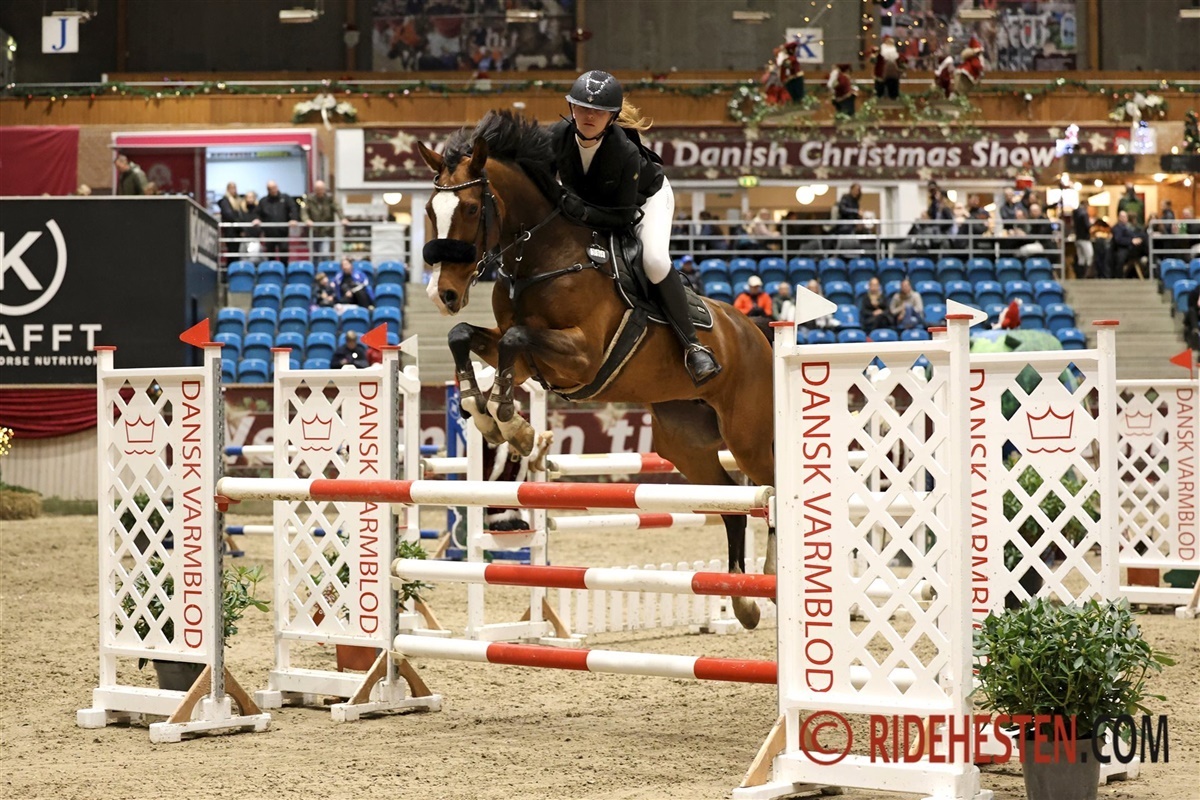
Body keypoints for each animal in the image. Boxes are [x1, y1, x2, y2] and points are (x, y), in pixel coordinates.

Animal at [417, 111, 775, 629]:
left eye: (468, 207)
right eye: (430, 208)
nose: (442, 294)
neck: (541, 258)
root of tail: (757, 331)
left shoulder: (581, 357)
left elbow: (513, 337)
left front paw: (511, 424)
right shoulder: (525, 363)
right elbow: (465, 336)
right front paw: (484, 411)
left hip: (748, 435)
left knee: (773, 489)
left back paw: (771, 577)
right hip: (685, 441)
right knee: (730, 502)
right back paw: (744, 601)